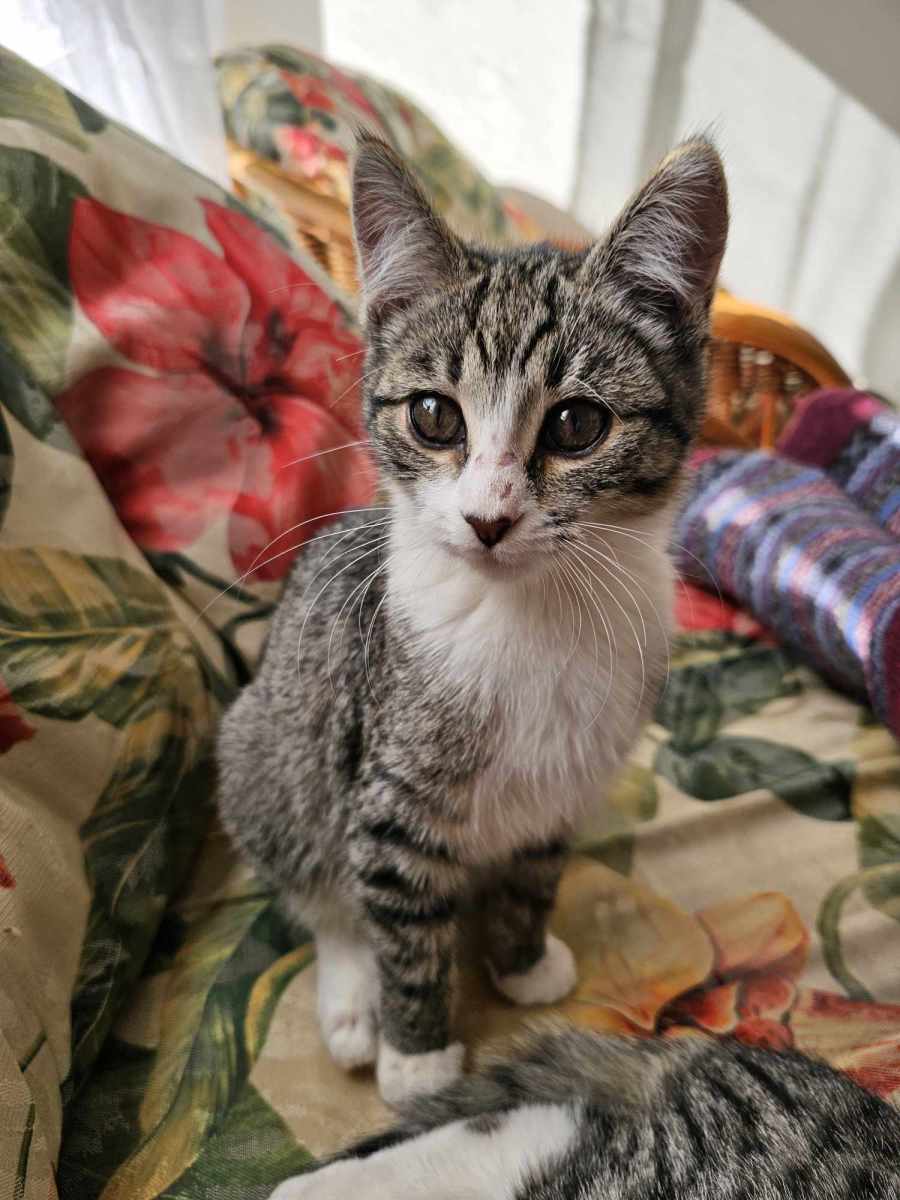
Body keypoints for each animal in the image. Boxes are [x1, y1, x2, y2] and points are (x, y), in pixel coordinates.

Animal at [216, 132, 728, 1107]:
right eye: (432, 415)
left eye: (577, 425)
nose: (488, 518)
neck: (532, 609)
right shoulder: (389, 787)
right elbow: (403, 930)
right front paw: (418, 1057)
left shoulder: (571, 778)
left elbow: (536, 874)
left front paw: (521, 959)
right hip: (266, 748)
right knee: (317, 882)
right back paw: (352, 1001)